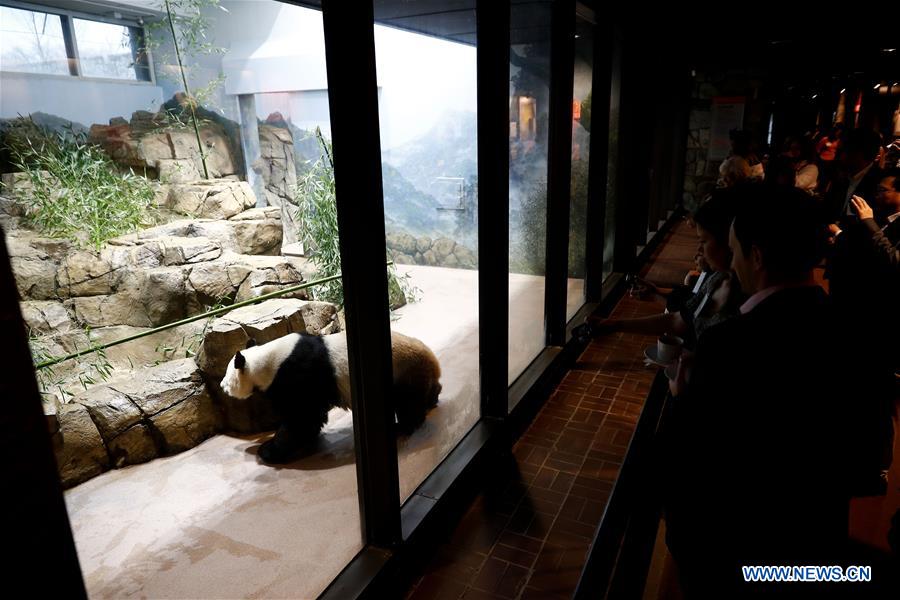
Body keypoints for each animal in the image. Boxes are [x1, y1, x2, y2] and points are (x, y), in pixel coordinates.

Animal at [220, 330, 442, 462]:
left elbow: (300, 416)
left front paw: (269, 450)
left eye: (227, 376)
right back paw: (432, 399)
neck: (268, 360)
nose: (222, 386)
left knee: (407, 403)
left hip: (403, 371)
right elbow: (311, 417)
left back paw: (403, 426)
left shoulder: (297, 375)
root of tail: (431, 359)